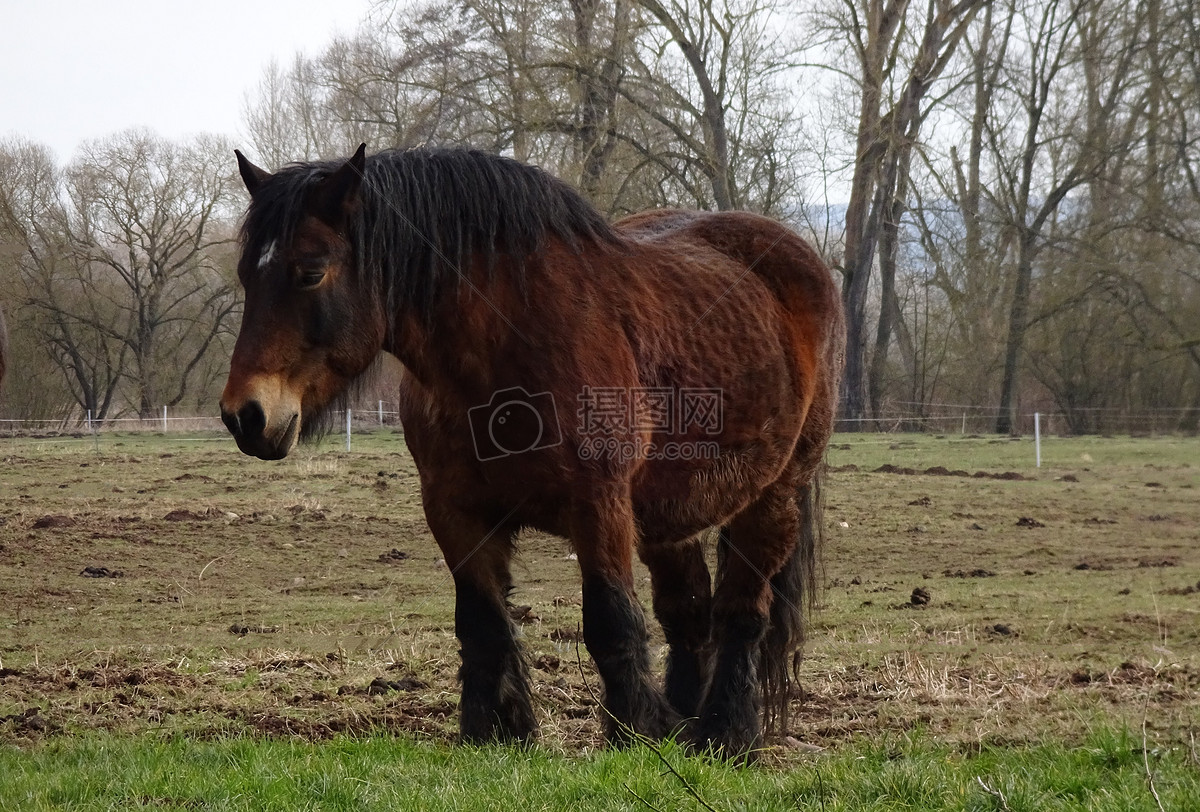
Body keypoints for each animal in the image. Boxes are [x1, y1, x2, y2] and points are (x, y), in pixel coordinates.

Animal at [223, 143, 844, 753]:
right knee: (687, 613)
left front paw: (637, 731)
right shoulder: (455, 511)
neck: (509, 347)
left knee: (743, 612)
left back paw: (727, 732)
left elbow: (611, 620)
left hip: (774, 495)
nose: (245, 416)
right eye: (246, 276)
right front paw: (497, 730)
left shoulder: (598, 504)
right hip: (674, 514)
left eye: (310, 273)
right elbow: (482, 622)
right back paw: (689, 724)